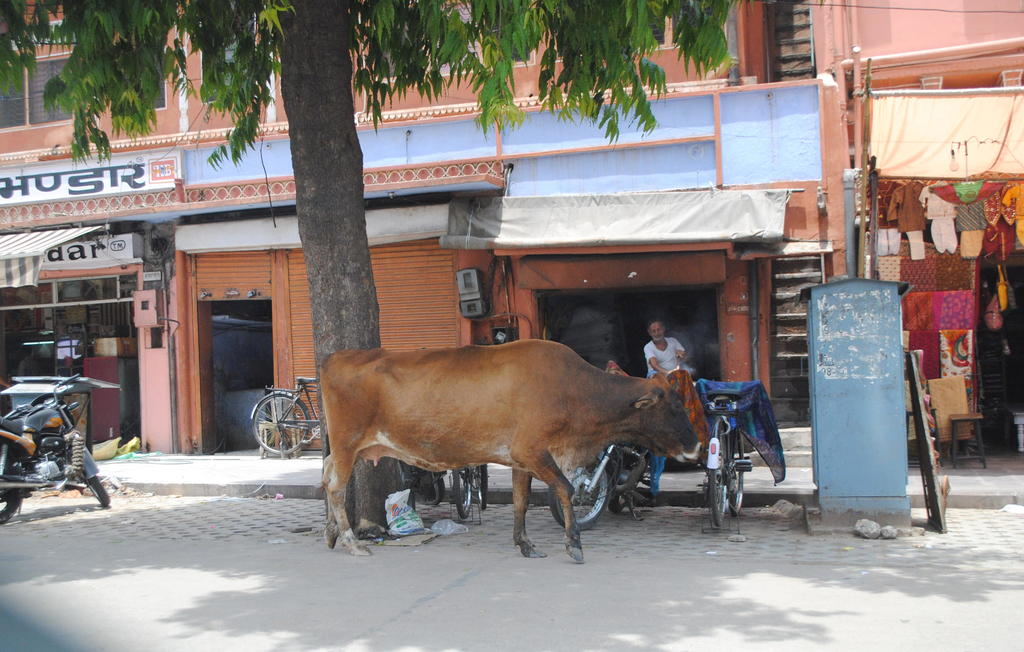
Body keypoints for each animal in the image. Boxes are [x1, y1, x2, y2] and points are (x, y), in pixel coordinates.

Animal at [321, 337, 704, 560]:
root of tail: (336, 357)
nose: (697, 446)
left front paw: (525, 543)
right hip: (347, 443)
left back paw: (331, 532)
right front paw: (574, 542)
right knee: (336, 486)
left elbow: (521, 501)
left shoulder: (521, 459)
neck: (574, 389)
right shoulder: (534, 450)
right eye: (673, 408)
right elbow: (566, 489)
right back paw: (352, 542)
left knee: (326, 477)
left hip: (344, 449)